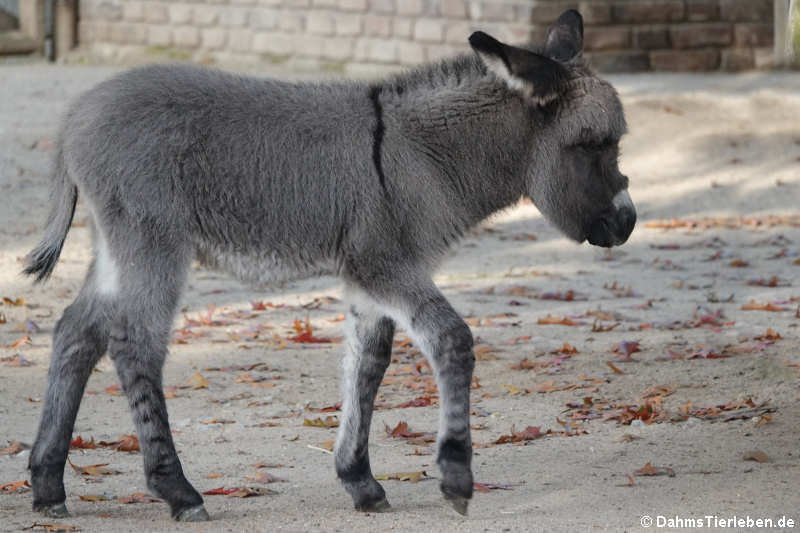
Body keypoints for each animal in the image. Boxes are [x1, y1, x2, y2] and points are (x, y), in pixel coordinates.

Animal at [25, 10, 636, 520]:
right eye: (592, 144)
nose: (628, 223)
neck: (419, 155)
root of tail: (75, 118)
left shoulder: (372, 278)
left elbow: (367, 365)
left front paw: (360, 481)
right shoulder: (385, 265)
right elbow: (451, 340)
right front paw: (456, 478)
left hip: (115, 247)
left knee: (77, 332)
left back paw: (48, 484)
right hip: (152, 243)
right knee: (134, 344)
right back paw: (177, 490)